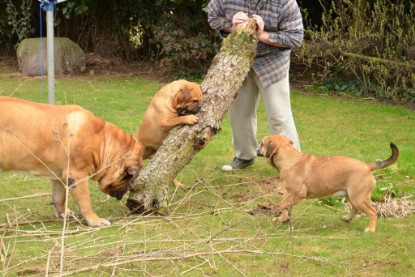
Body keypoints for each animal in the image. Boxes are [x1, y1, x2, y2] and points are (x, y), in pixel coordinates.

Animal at [0, 97, 144, 226]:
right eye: (129, 178)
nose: (130, 187)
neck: (101, 141)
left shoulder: (59, 175)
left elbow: (59, 197)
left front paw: (64, 214)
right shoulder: (77, 175)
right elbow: (85, 201)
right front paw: (95, 220)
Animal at [256, 134, 400, 231]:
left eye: (262, 143)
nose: (257, 147)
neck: (289, 158)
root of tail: (367, 165)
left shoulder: (298, 194)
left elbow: (281, 205)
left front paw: (282, 217)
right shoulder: (289, 193)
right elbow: (285, 206)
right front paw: (284, 218)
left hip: (359, 197)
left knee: (372, 212)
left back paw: (370, 228)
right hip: (352, 195)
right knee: (355, 208)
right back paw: (347, 218)